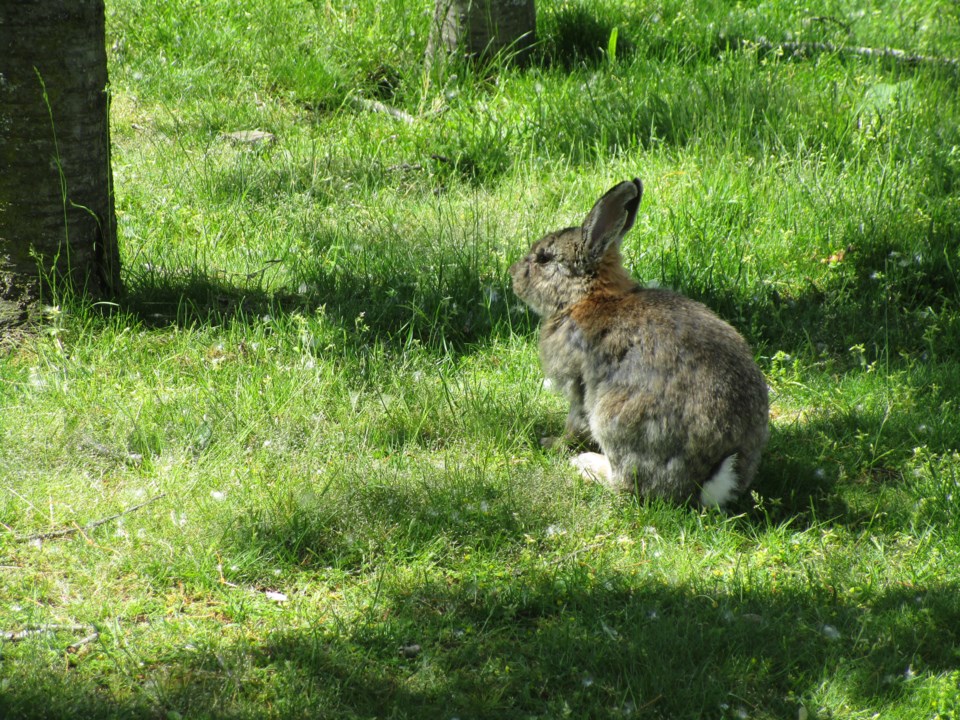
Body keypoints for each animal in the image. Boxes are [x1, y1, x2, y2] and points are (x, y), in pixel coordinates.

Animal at [510, 179, 772, 506]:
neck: (587, 296)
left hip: (614, 418)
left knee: (625, 483)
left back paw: (586, 465)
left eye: (544, 258)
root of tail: (709, 476)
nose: (514, 277)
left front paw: (551, 443)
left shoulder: (577, 384)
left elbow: (574, 423)